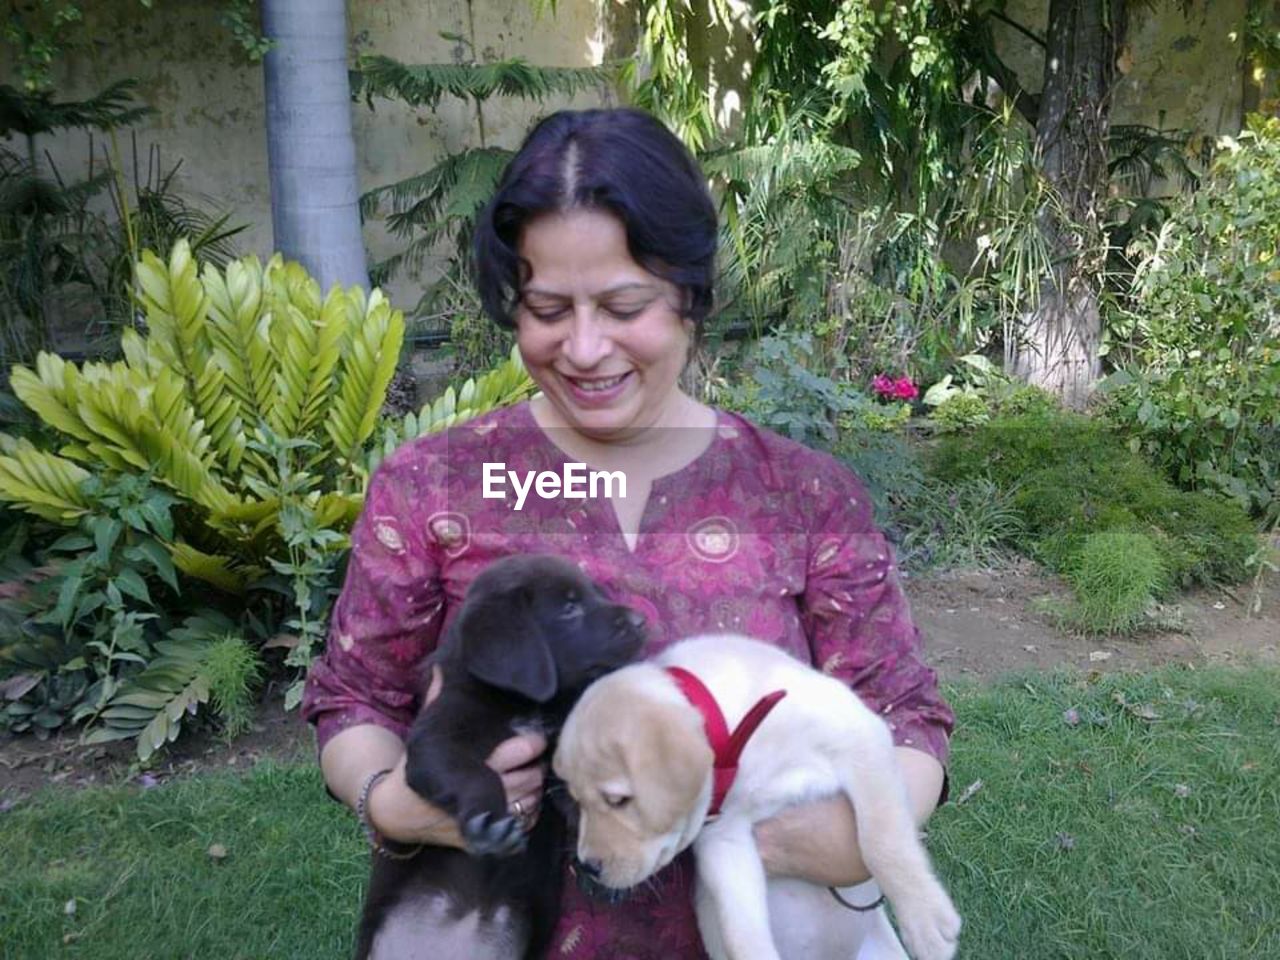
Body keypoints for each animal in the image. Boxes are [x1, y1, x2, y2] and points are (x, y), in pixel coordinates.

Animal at [355, 555, 645, 960]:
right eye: (569, 608)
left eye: (597, 594)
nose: (640, 620)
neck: (526, 705)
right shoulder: (437, 738)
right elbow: (476, 774)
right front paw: (490, 819)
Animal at [552, 632, 962, 960]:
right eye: (576, 802)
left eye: (618, 800)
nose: (586, 866)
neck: (740, 738)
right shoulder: (724, 840)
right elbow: (740, 931)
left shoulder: (860, 738)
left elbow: (883, 840)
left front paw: (925, 921)